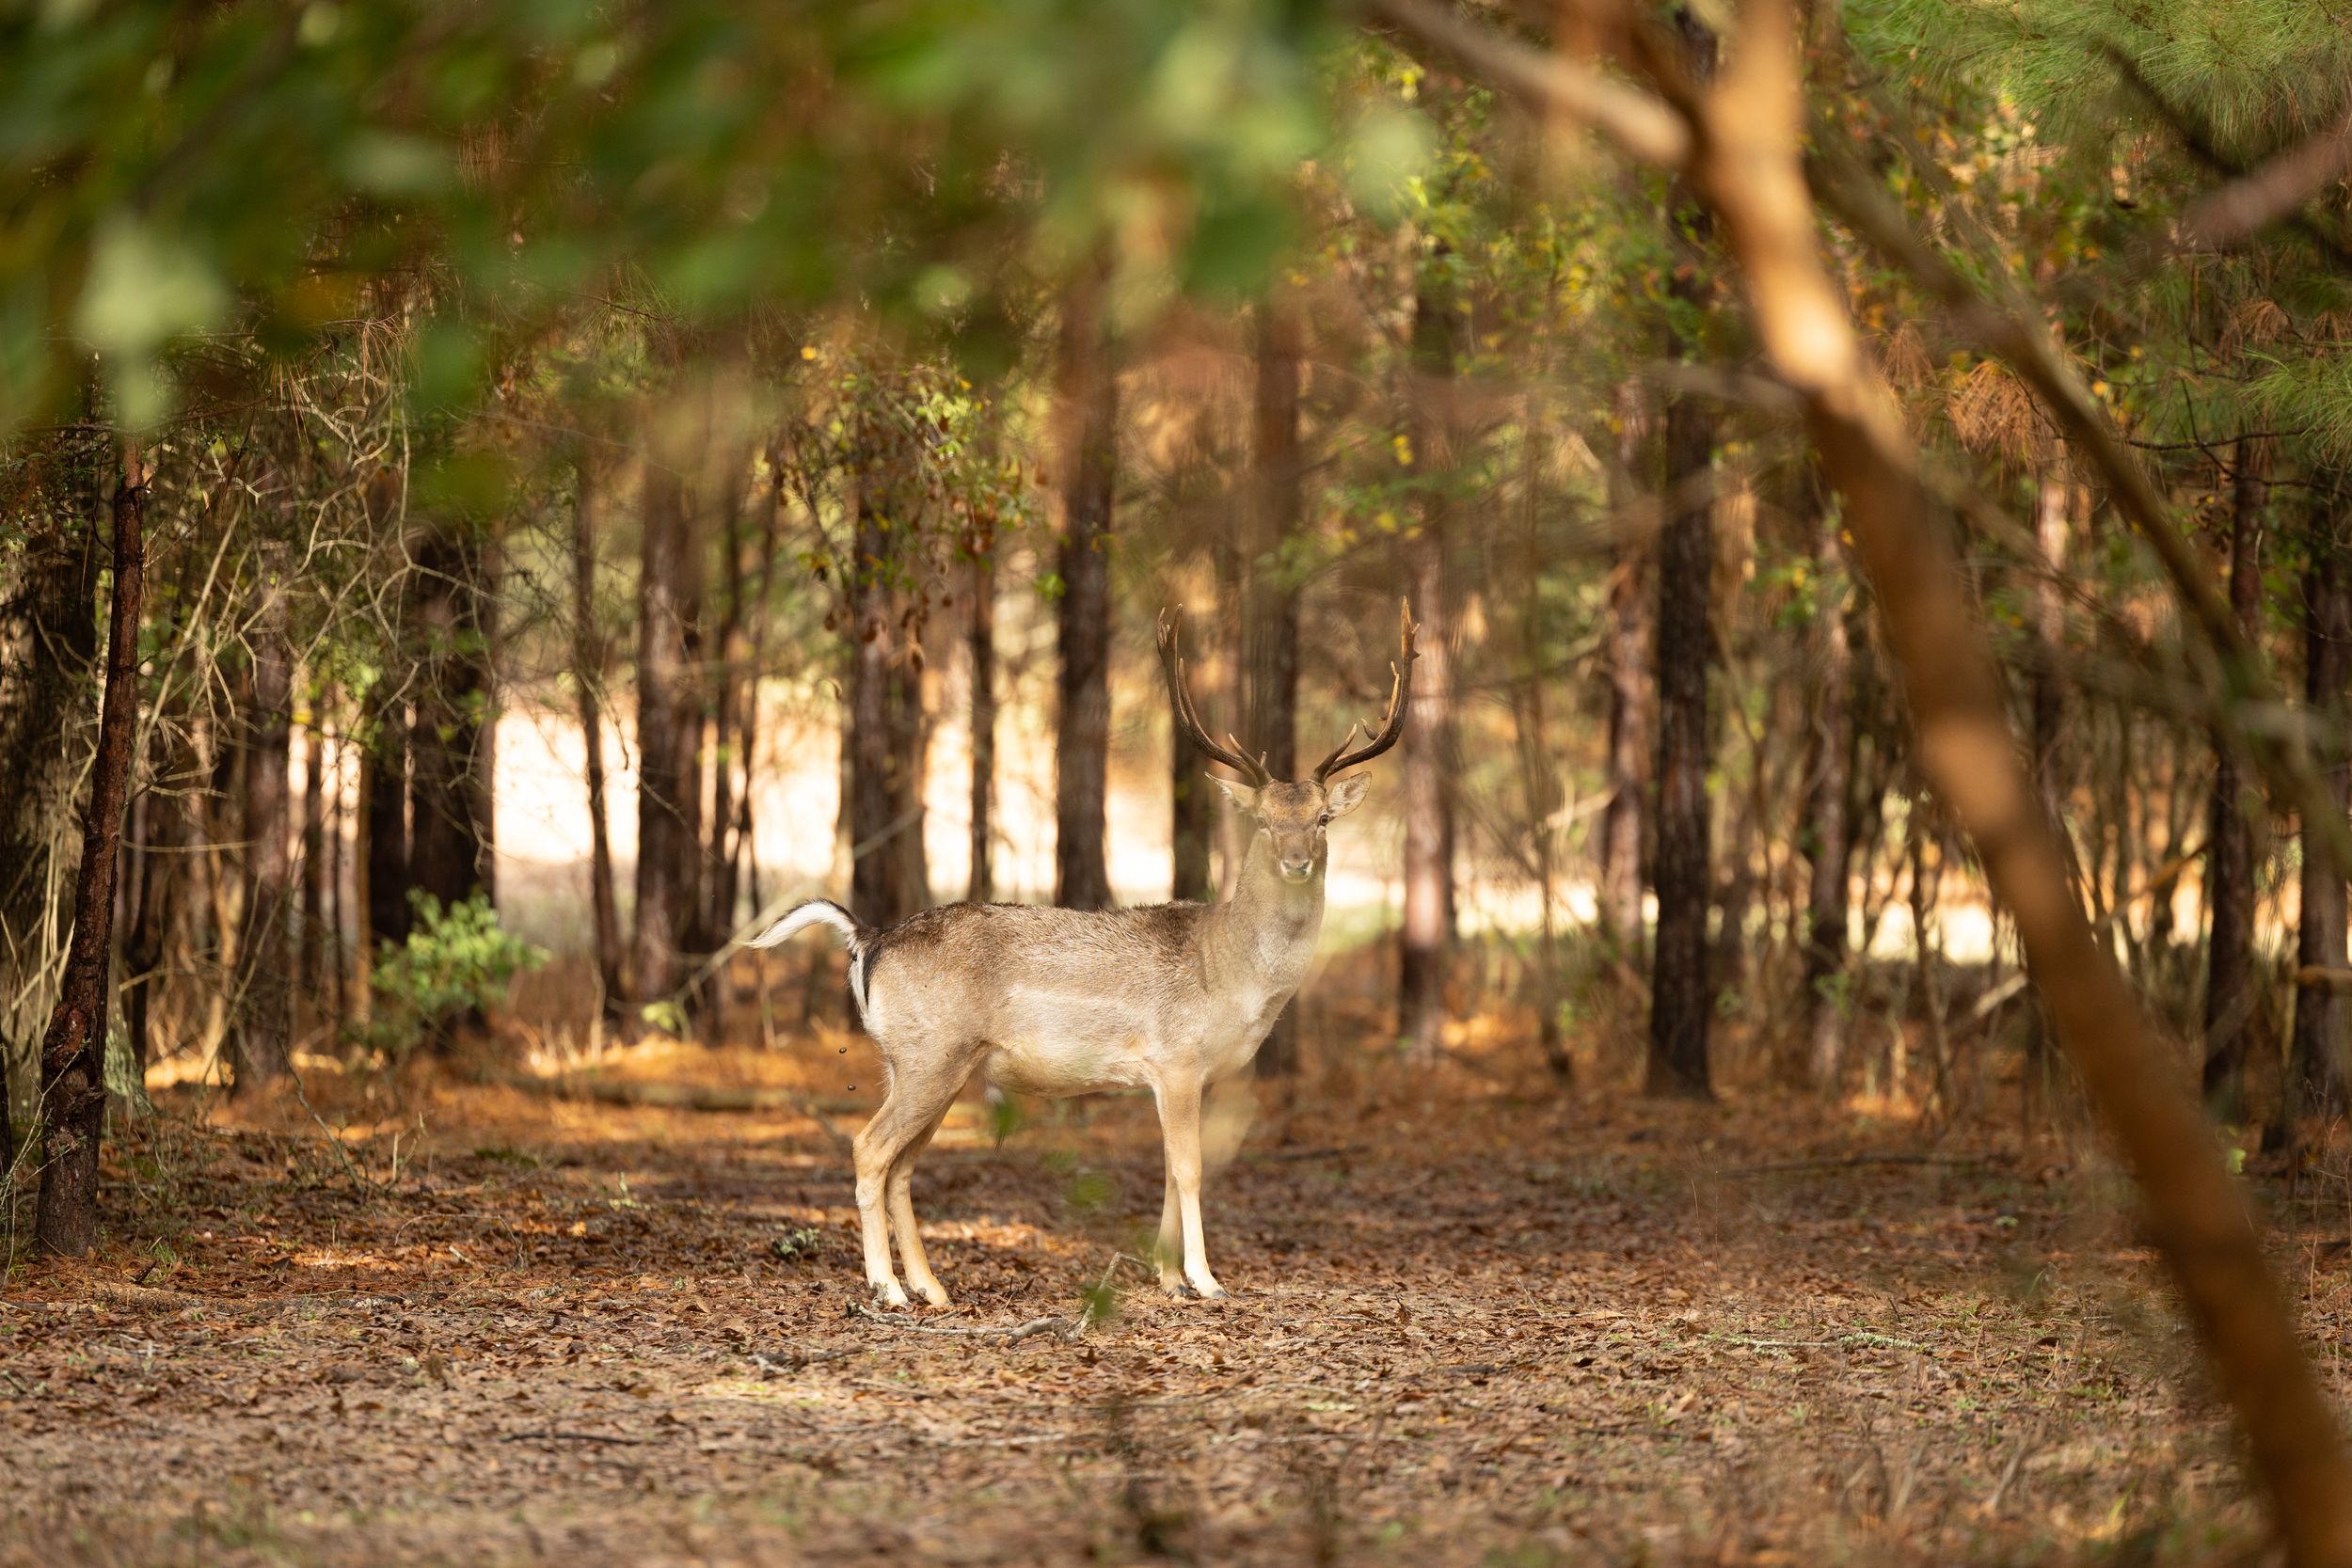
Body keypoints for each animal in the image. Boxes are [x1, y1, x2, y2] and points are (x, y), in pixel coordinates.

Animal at [749, 600, 1417, 1308]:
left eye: (1322, 819)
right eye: (1263, 819)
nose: (1296, 860)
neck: (1229, 974)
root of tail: (867, 939)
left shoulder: (1187, 1076)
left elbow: (1168, 1168)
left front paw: (1164, 1274)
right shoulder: (1176, 1059)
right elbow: (1190, 1167)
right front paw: (1205, 1279)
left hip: (919, 1063)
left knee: (901, 1164)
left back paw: (933, 1287)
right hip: (930, 1053)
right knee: (869, 1148)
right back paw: (889, 1287)